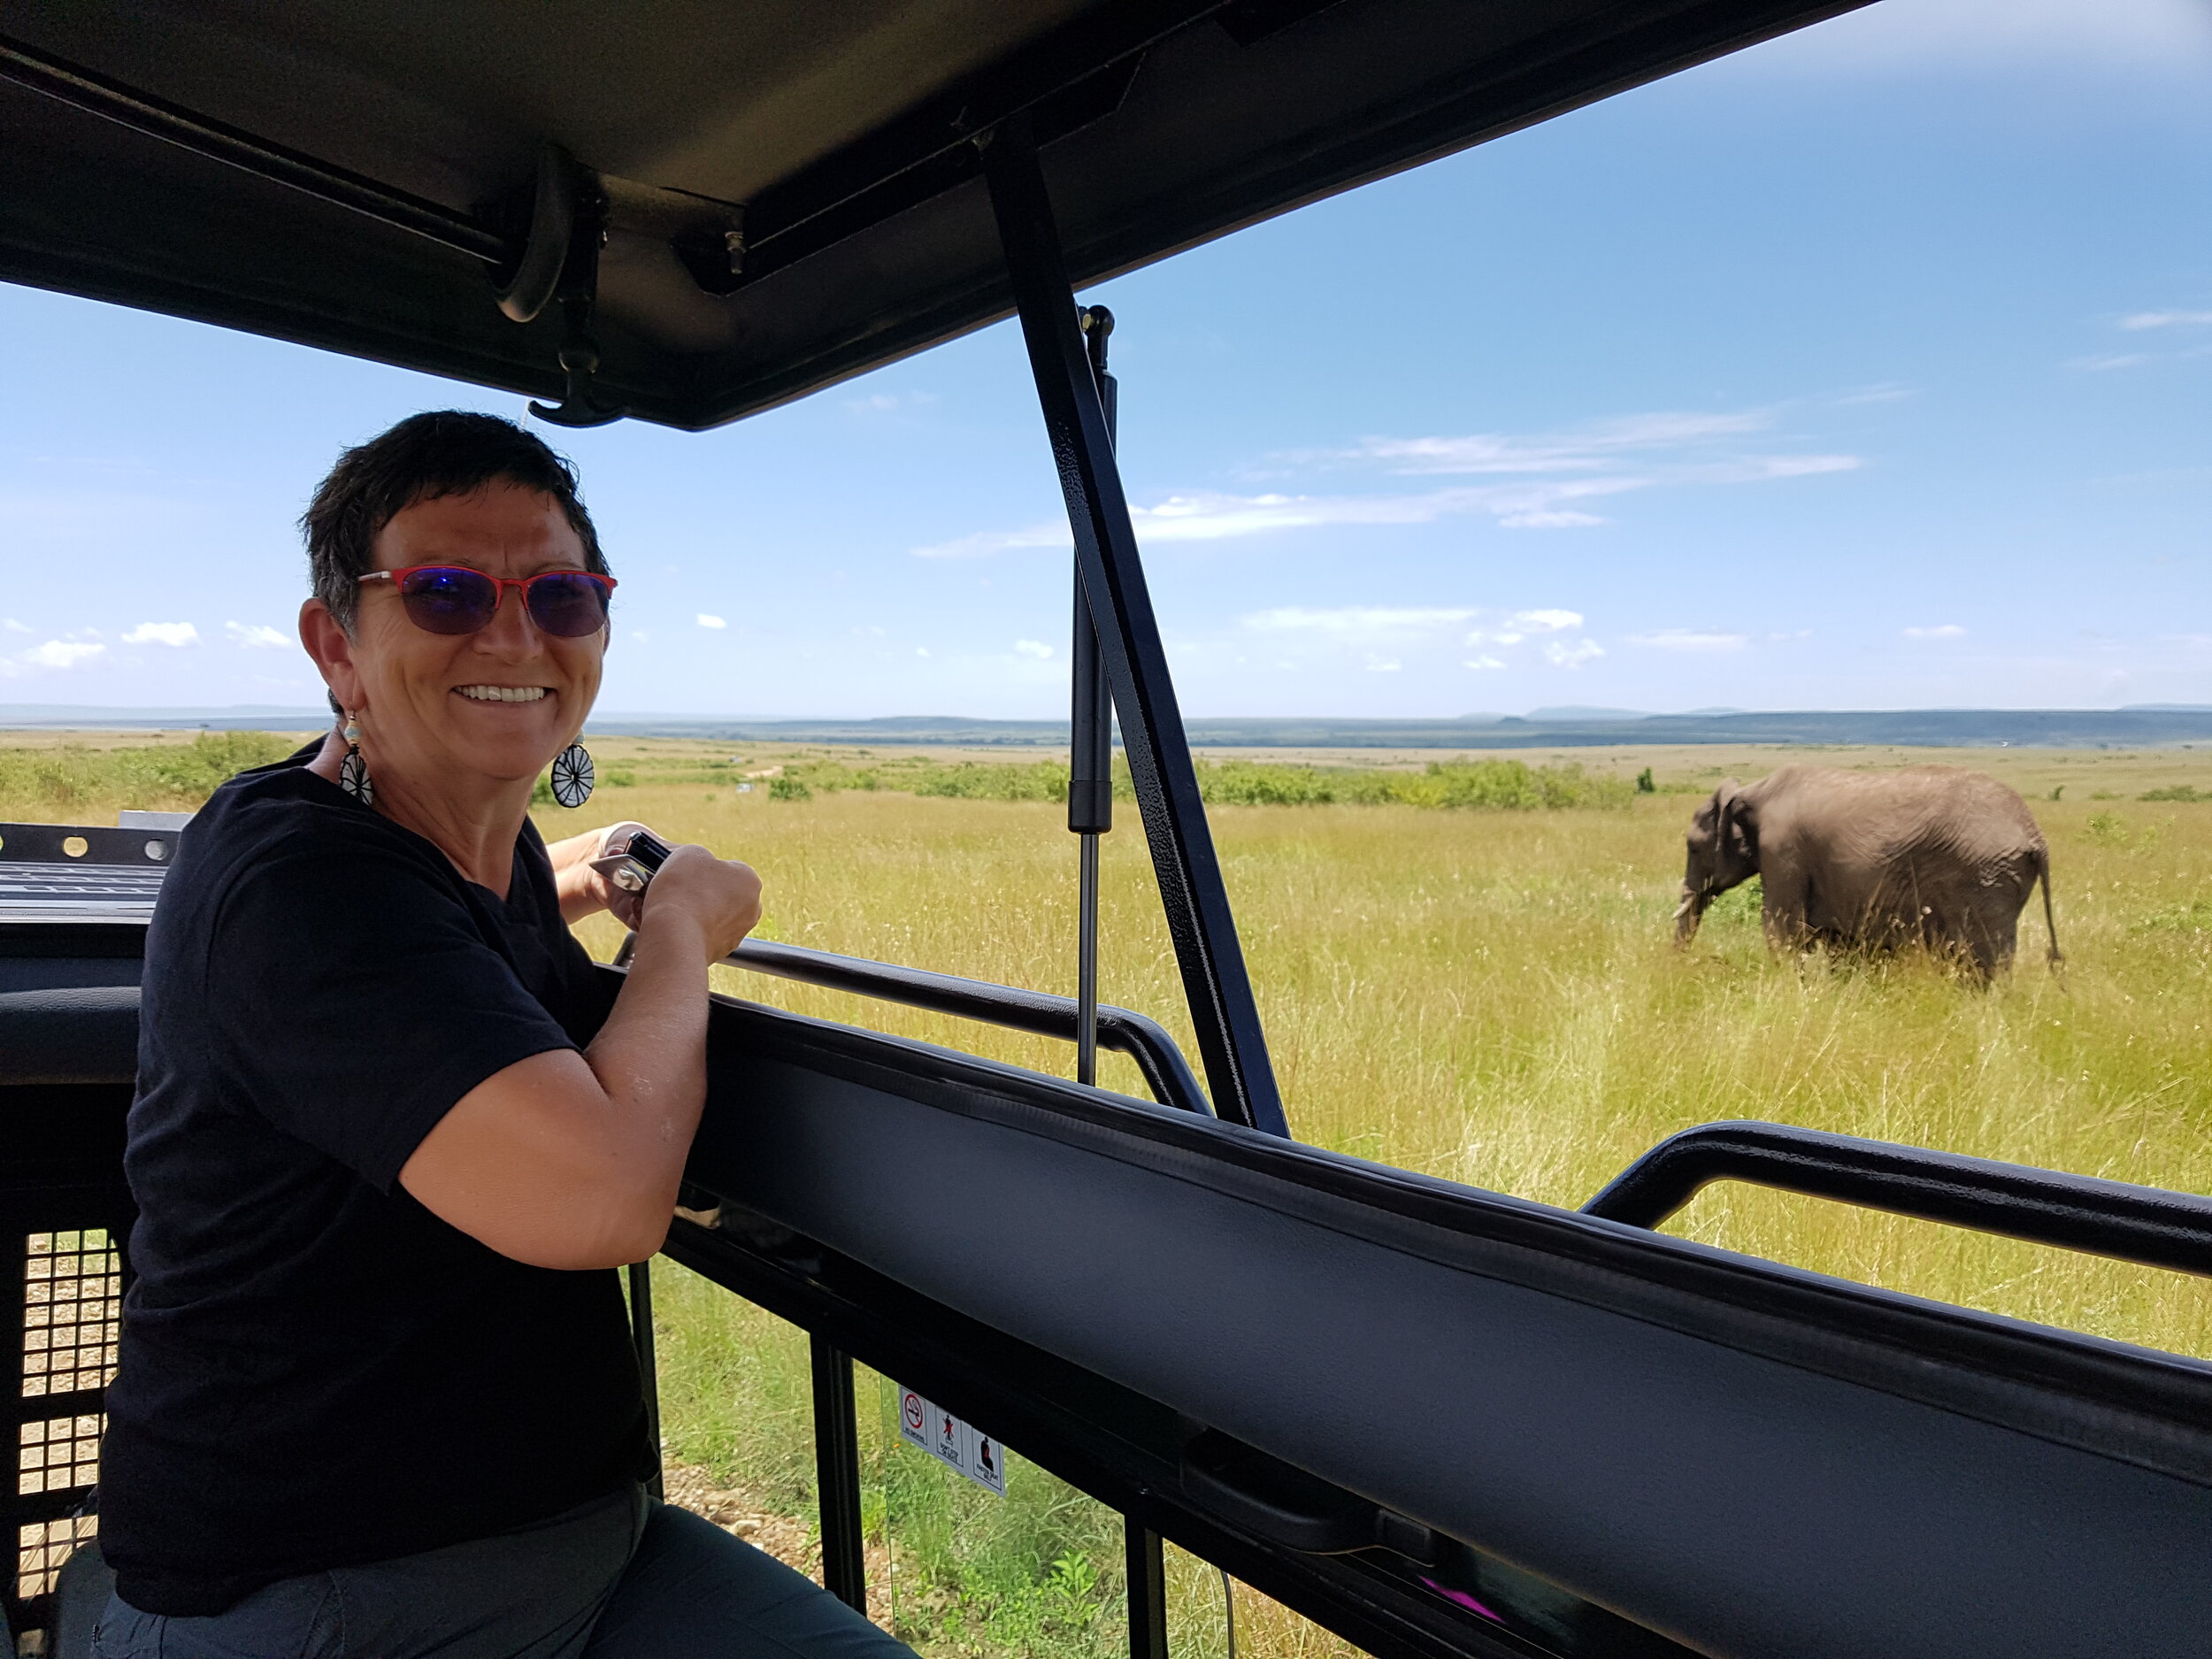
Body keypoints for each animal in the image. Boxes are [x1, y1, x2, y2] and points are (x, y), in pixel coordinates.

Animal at [1681, 765, 2062, 973]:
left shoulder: (1782, 852)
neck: (1752, 790)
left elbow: (1783, 932)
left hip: (1986, 877)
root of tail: (2036, 837)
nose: (1680, 962)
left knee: (1982, 959)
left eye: (1693, 847)